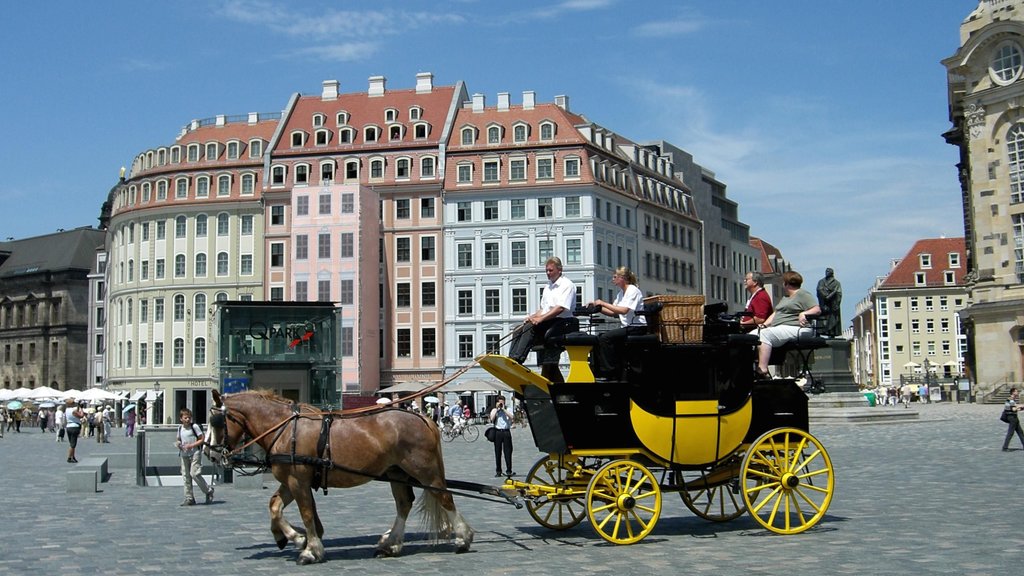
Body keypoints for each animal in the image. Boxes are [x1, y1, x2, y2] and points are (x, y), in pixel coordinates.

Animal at [204, 387, 475, 561]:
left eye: (216, 422)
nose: (210, 453)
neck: (285, 428)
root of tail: (423, 418)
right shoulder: (290, 481)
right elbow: (275, 507)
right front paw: (289, 537)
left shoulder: (298, 481)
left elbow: (306, 513)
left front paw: (310, 549)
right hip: (396, 473)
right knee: (404, 504)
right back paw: (391, 544)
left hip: (424, 471)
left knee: (445, 498)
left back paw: (463, 538)